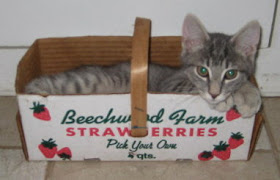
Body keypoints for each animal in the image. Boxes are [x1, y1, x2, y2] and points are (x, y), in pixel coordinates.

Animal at [25, 14, 262, 118]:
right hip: (85, 81)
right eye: (202, 71)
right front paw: (235, 98)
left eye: (230, 73)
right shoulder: (170, 84)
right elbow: (192, 87)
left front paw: (248, 94)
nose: (214, 94)